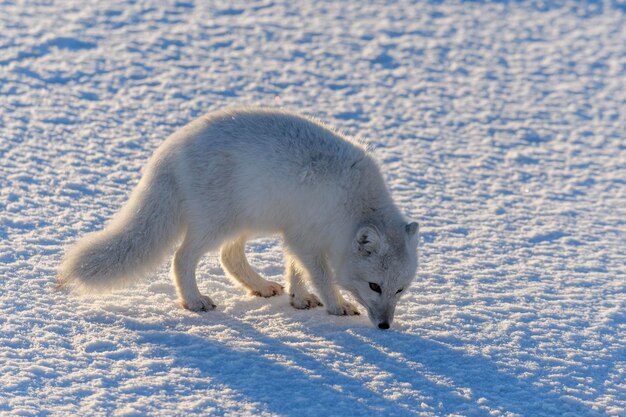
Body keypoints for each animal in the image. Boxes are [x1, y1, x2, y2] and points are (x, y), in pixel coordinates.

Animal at [59, 107, 420, 328]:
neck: (353, 205)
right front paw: (337, 306)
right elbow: (320, 275)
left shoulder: (296, 233)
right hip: (216, 224)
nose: (385, 326)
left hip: (246, 221)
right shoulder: (306, 237)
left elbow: (296, 270)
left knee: (228, 257)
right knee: (182, 258)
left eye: (400, 290)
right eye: (374, 286)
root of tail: (168, 151)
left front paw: (299, 299)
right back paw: (194, 302)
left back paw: (260, 287)